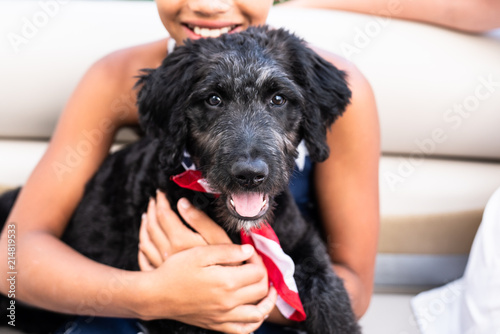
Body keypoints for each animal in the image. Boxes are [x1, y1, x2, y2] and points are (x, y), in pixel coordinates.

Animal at [0, 26, 362, 334]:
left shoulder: (306, 250)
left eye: (278, 99)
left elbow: (332, 301)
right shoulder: (185, 305)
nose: (250, 175)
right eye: (213, 99)